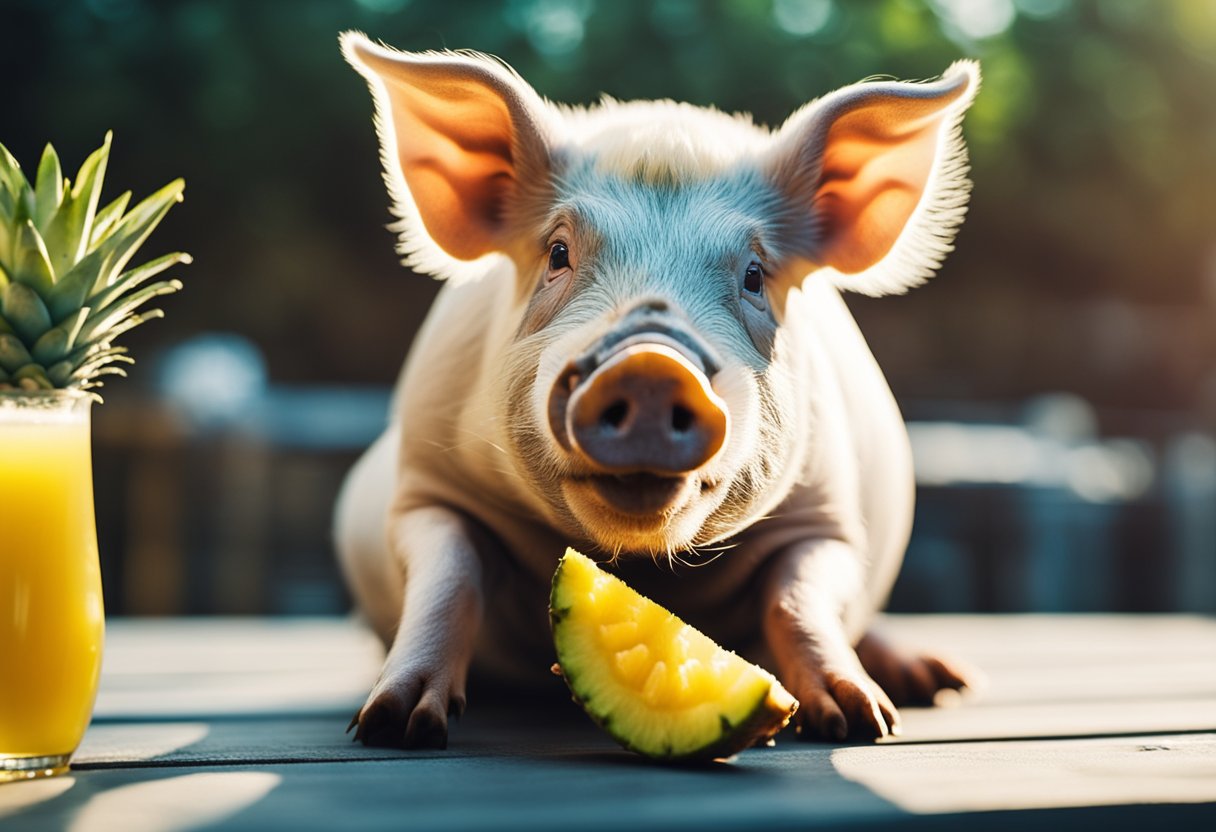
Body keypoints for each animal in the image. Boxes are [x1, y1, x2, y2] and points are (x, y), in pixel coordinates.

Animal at [334, 31, 980, 750]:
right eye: (557, 253)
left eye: (754, 275)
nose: (649, 364)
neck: (646, 562)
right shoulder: (427, 490)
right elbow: (447, 580)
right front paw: (393, 724)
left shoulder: (828, 516)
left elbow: (800, 596)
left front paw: (862, 721)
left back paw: (940, 681)